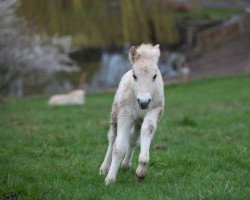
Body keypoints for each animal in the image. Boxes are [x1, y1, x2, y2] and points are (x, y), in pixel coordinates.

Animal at [99, 43, 164, 184]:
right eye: (134, 76)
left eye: (155, 76)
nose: (144, 102)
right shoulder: (125, 114)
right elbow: (118, 147)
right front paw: (110, 178)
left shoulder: (155, 110)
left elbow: (147, 130)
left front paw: (141, 170)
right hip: (115, 113)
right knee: (112, 137)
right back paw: (104, 168)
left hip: (138, 120)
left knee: (133, 139)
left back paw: (126, 165)